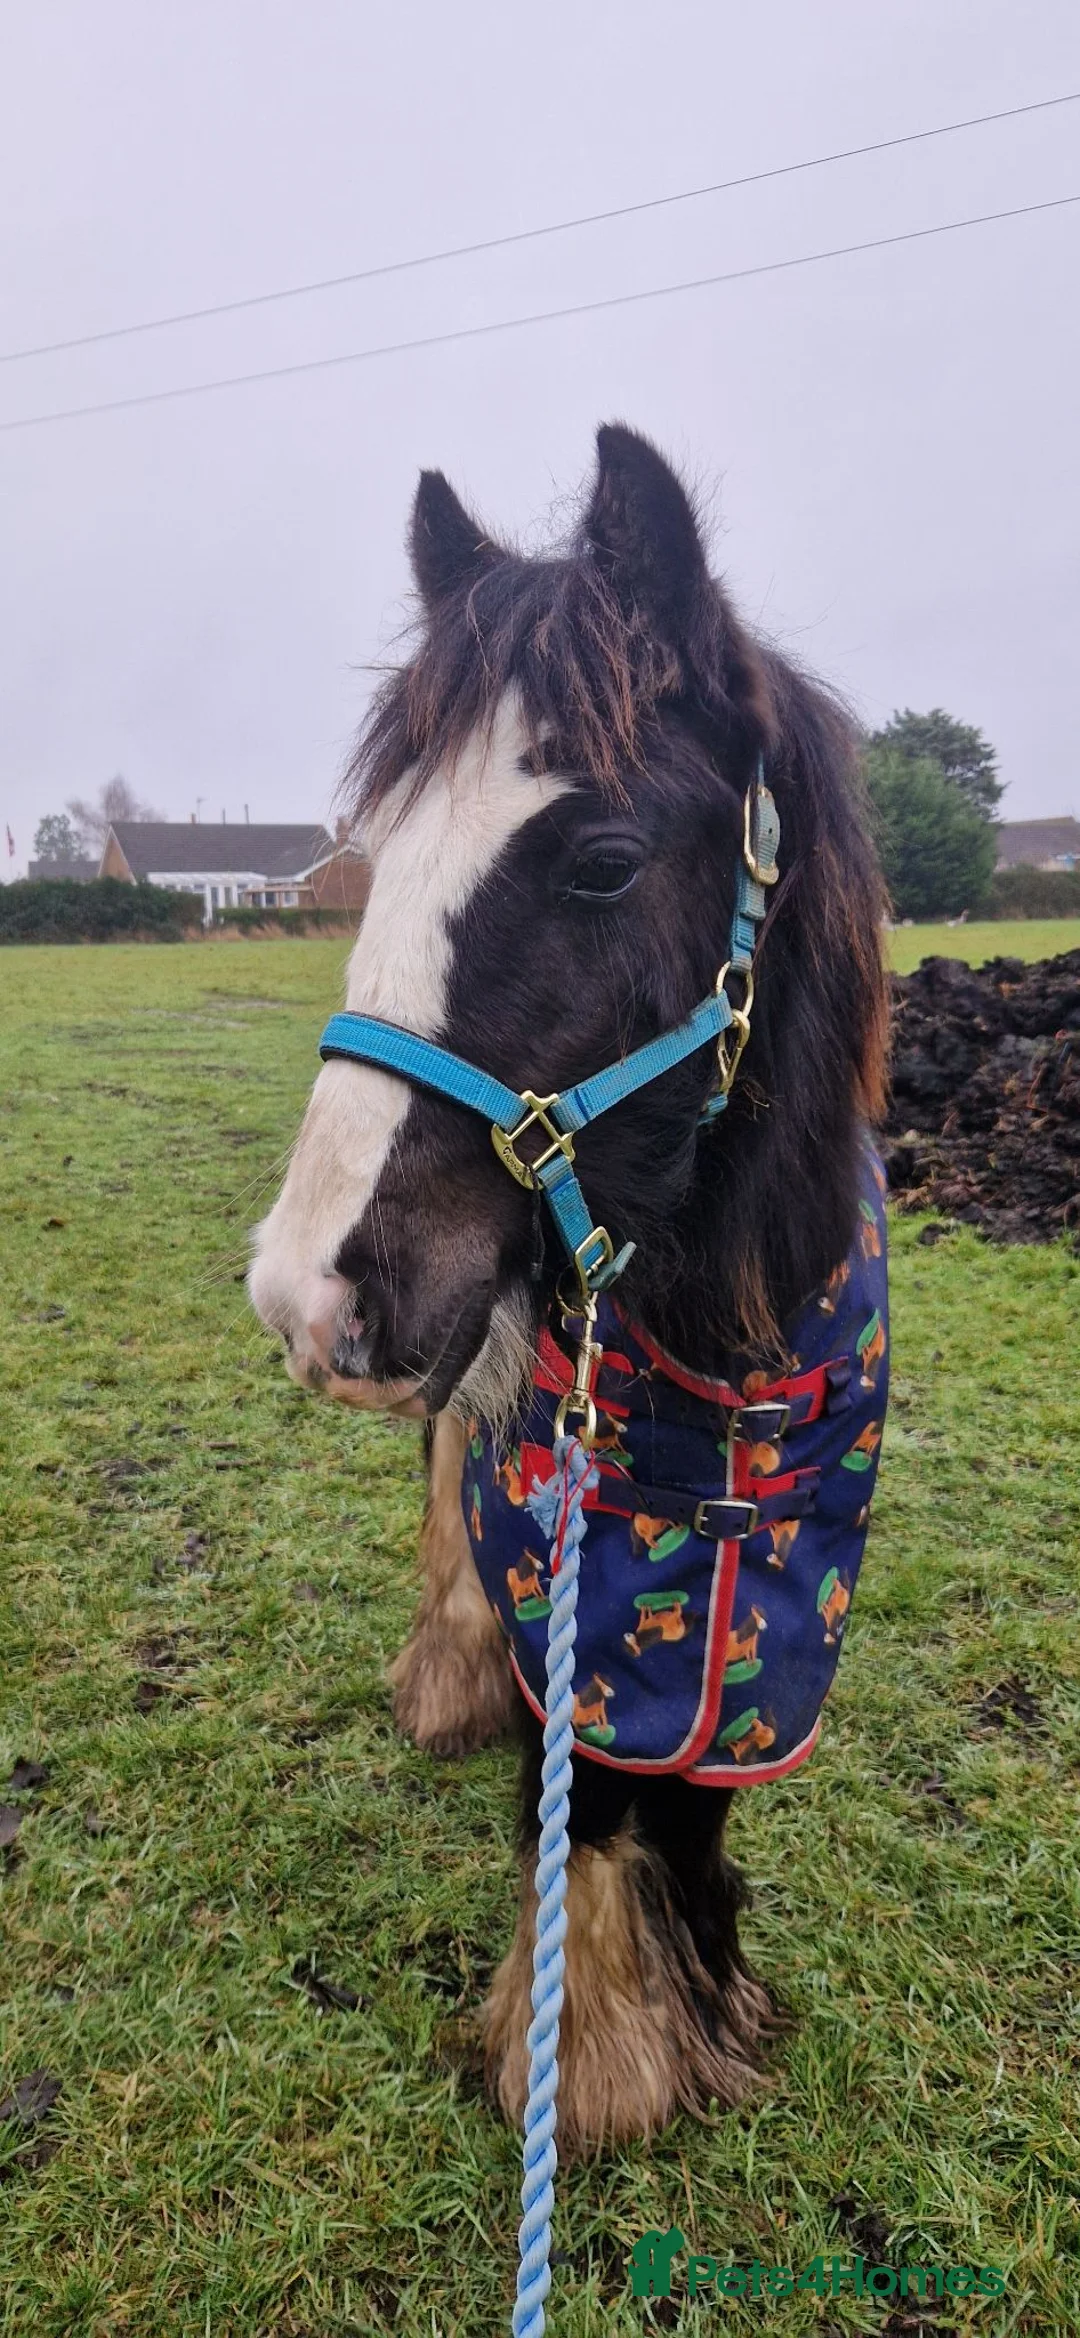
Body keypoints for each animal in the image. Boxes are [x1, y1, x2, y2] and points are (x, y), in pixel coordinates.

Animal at [249, 423, 889, 2152]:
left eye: (601, 862)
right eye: (377, 860)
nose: (303, 1291)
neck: (725, 1355)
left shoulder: (775, 1602)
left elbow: (691, 1793)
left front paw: (696, 1996)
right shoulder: (579, 1564)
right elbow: (583, 1781)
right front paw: (592, 2048)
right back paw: (448, 1673)